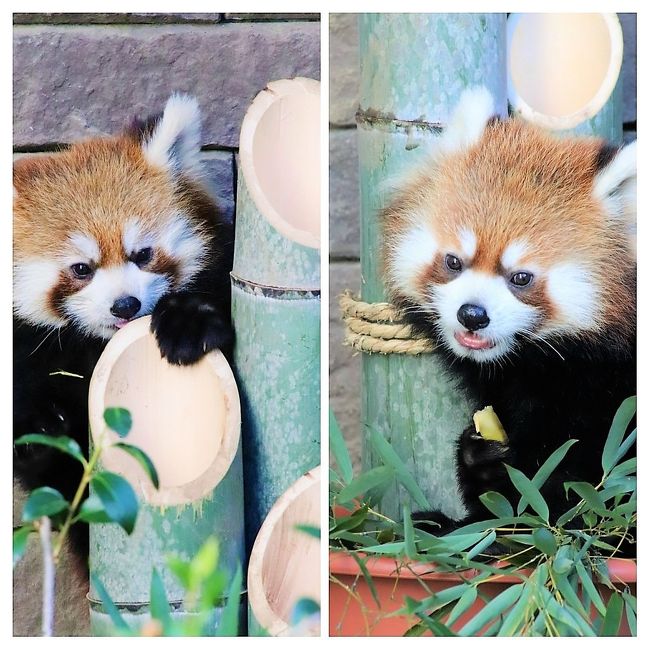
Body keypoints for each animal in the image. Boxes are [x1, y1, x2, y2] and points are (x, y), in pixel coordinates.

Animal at [12, 95, 233, 552]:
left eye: (143, 254)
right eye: (81, 269)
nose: (125, 305)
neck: (93, 347)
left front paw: (187, 322)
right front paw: (38, 427)